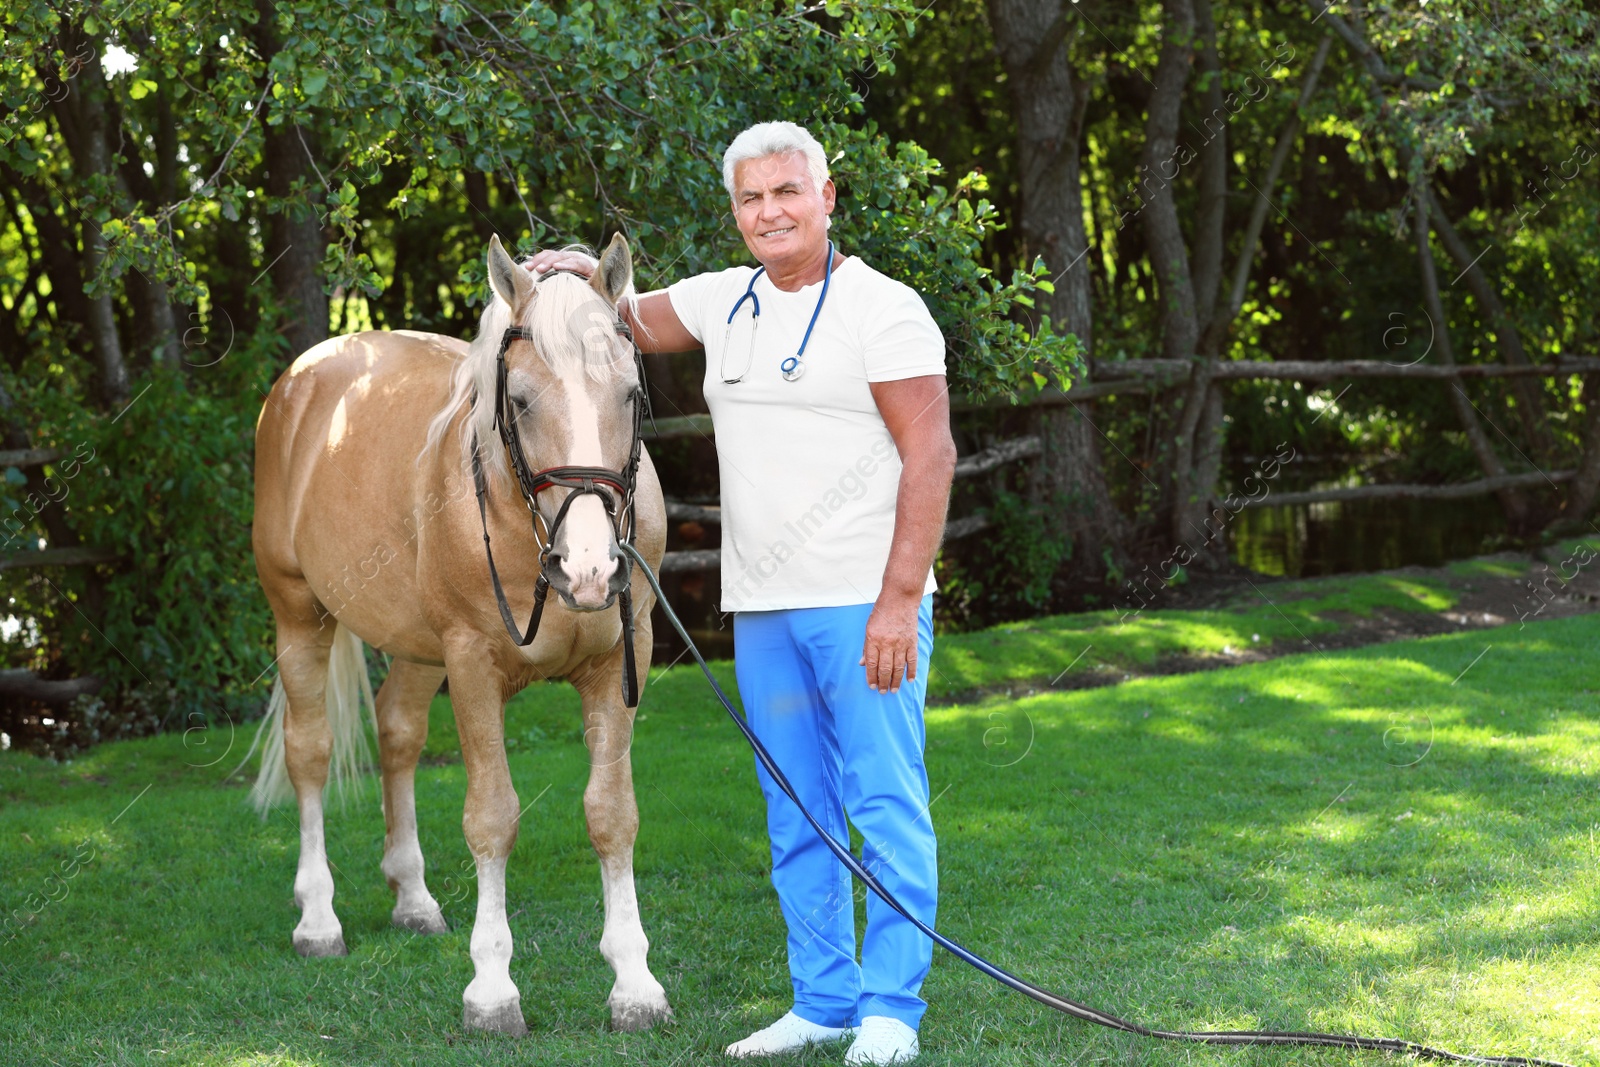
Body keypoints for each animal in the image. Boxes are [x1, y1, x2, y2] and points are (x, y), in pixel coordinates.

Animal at [248, 233, 668, 1036]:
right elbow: (492, 818)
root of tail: (303, 379)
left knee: (398, 734)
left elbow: (614, 813)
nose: (590, 568)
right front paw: (493, 988)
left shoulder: (616, 664)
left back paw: (412, 898)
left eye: (630, 394)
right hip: (299, 616)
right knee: (310, 754)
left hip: (417, 650)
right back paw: (318, 919)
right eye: (522, 400)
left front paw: (635, 981)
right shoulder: (473, 665)